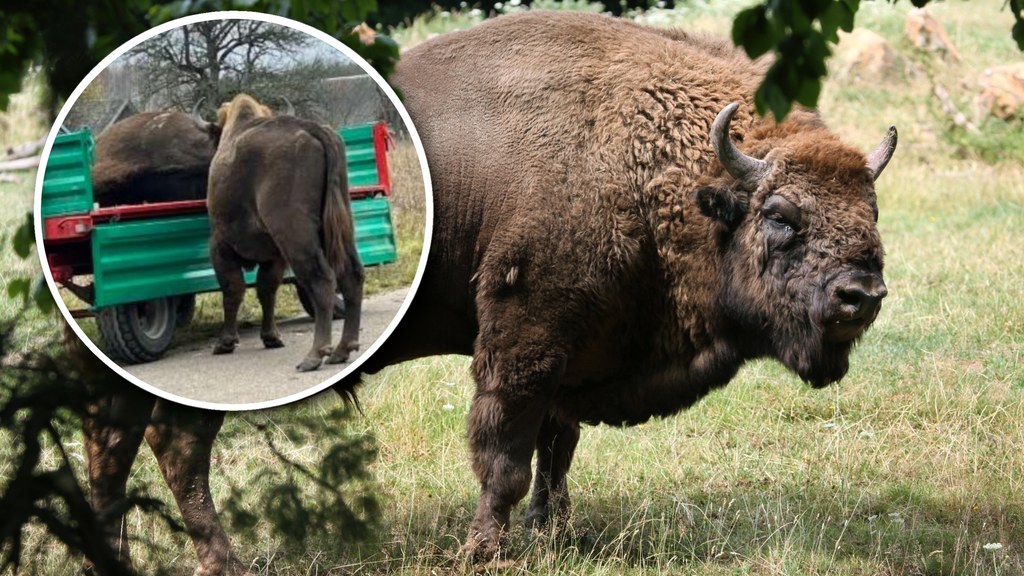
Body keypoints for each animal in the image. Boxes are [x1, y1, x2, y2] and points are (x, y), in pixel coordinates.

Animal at [205, 93, 362, 373]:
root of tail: (315, 130)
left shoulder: (220, 245)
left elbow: (233, 290)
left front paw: (225, 342)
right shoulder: (274, 257)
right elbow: (267, 291)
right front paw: (271, 337)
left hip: (296, 237)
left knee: (322, 280)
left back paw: (314, 356)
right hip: (340, 230)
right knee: (351, 275)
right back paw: (341, 350)